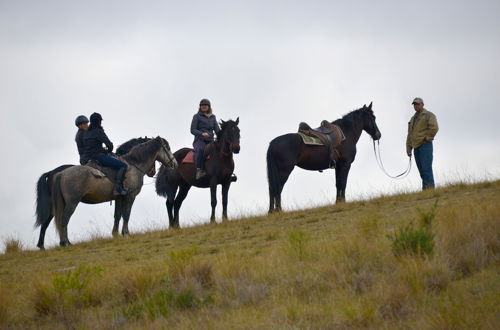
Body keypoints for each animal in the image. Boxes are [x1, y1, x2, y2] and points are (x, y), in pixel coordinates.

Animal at [48, 135, 177, 246]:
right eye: (167, 148)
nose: (174, 164)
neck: (132, 165)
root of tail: (61, 174)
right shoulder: (130, 197)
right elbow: (126, 214)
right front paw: (126, 233)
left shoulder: (118, 198)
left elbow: (117, 215)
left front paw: (116, 234)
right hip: (72, 203)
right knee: (64, 220)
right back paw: (66, 243)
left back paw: (65, 242)